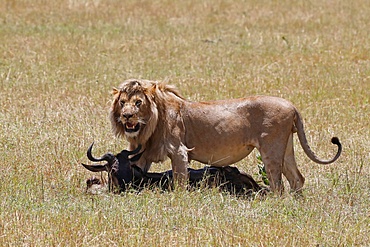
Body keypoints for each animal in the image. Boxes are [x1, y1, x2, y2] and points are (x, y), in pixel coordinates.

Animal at [109, 78, 342, 192]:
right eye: (122, 102)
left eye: (138, 103)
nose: (127, 116)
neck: (151, 124)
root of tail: (292, 106)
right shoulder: (143, 155)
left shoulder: (179, 151)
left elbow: (180, 181)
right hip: (286, 149)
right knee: (297, 179)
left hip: (271, 149)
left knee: (278, 185)